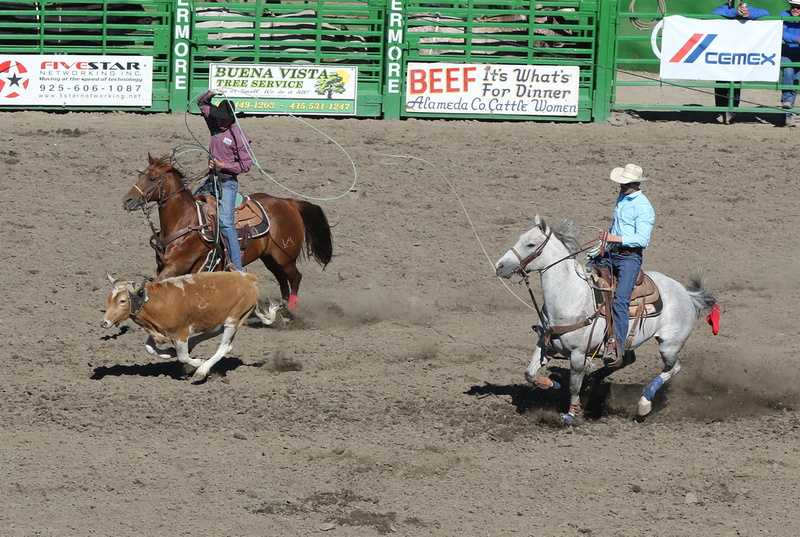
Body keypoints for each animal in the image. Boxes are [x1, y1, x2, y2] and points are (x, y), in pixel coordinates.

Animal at [100, 272, 278, 382]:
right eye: (109, 298)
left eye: (123, 300)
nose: (104, 322)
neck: (157, 302)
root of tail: (248, 277)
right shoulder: (157, 329)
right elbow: (149, 348)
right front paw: (169, 353)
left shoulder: (180, 333)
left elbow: (183, 357)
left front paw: (198, 362)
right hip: (219, 320)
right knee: (216, 338)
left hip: (232, 321)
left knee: (224, 347)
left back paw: (201, 371)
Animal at [123, 154, 330, 310]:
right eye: (140, 175)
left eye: (152, 178)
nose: (127, 200)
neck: (185, 220)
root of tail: (289, 203)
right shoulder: (165, 267)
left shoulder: (177, 265)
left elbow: (153, 286)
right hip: (271, 258)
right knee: (282, 281)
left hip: (285, 257)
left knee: (295, 278)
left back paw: (291, 312)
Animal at [494, 215, 720, 422]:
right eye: (520, 238)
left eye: (530, 244)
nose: (500, 266)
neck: (571, 297)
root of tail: (687, 294)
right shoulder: (545, 344)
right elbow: (529, 373)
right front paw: (554, 384)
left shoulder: (578, 354)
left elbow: (573, 385)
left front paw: (572, 414)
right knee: (624, 360)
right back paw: (592, 380)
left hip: (670, 345)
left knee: (673, 368)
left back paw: (644, 401)